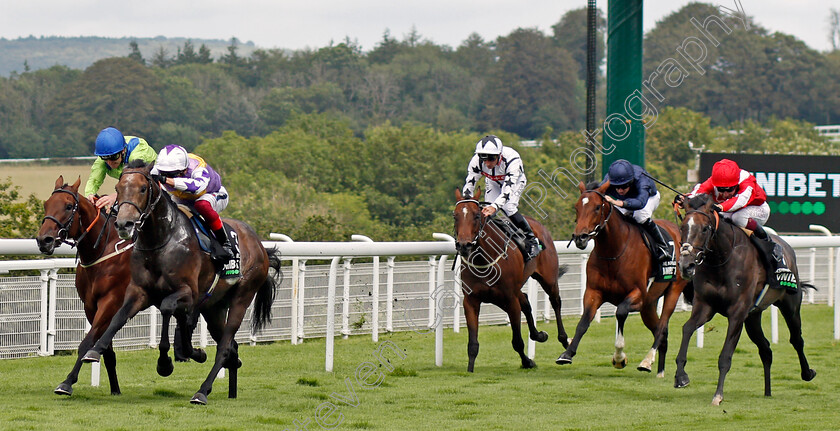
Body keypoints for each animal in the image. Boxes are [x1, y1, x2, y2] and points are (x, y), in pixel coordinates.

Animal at [35, 176, 130, 398]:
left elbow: (87, 343)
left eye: (69, 206)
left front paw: (67, 382)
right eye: (46, 204)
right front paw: (115, 389)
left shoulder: (110, 301)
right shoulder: (90, 305)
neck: (102, 249)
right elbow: (105, 348)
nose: (44, 240)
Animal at [81, 161, 282, 404]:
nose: (123, 224)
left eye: (142, 189)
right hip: (214, 307)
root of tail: (259, 245)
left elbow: (168, 308)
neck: (161, 241)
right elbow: (119, 318)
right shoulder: (139, 291)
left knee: (225, 346)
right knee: (229, 345)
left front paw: (165, 363)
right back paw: (227, 385)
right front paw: (94, 351)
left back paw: (202, 392)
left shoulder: (187, 292)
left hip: (242, 297)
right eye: (118, 189)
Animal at [452, 187, 564, 372]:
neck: (484, 259)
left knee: (555, 302)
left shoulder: (510, 300)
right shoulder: (471, 300)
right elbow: (473, 343)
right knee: (525, 301)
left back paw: (564, 339)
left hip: (548, 279)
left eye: (477, 216)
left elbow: (517, 341)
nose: (464, 245)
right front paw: (470, 369)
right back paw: (538, 335)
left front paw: (527, 362)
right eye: (455, 216)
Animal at [556, 181, 688, 376]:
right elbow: (584, 321)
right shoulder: (593, 292)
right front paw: (567, 353)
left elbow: (620, 312)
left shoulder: (638, 295)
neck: (613, 252)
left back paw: (647, 361)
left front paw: (619, 357)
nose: (580, 237)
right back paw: (659, 371)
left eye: (597, 207)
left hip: (672, 291)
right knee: (661, 331)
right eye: (576, 207)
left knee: (662, 327)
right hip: (649, 305)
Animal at [676, 195, 812, 404]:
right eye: (683, 227)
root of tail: (787, 247)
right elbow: (687, 328)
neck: (722, 259)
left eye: (705, 228)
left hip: (790, 306)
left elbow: (725, 357)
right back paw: (767, 391)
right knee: (766, 349)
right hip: (753, 318)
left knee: (797, 339)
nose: (686, 265)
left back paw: (807, 373)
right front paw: (681, 376)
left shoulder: (737, 313)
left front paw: (718, 395)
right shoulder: (705, 306)